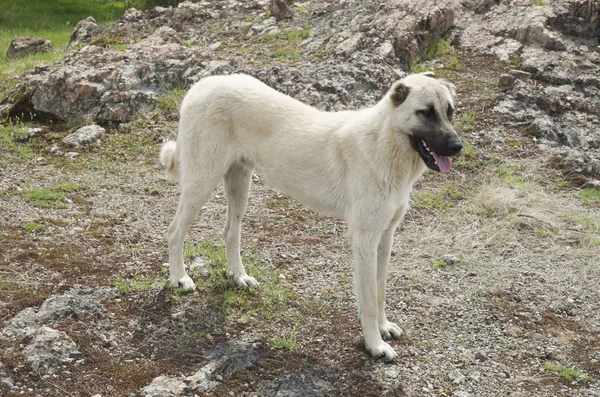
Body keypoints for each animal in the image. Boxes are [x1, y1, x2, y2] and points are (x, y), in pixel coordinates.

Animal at [158, 72, 460, 360]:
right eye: (426, 112)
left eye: (450, 111)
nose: (458, 146)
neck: (385, 143)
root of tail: (204, 84)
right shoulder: (364, 241)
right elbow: (369, 301)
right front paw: (375, 345)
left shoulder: (385, 238)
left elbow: (380, 291)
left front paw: (383, 328)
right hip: (202, 182)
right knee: (174, 231)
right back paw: (179, 279)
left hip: (239, 184)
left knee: (230, 233)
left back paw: (240, 277)